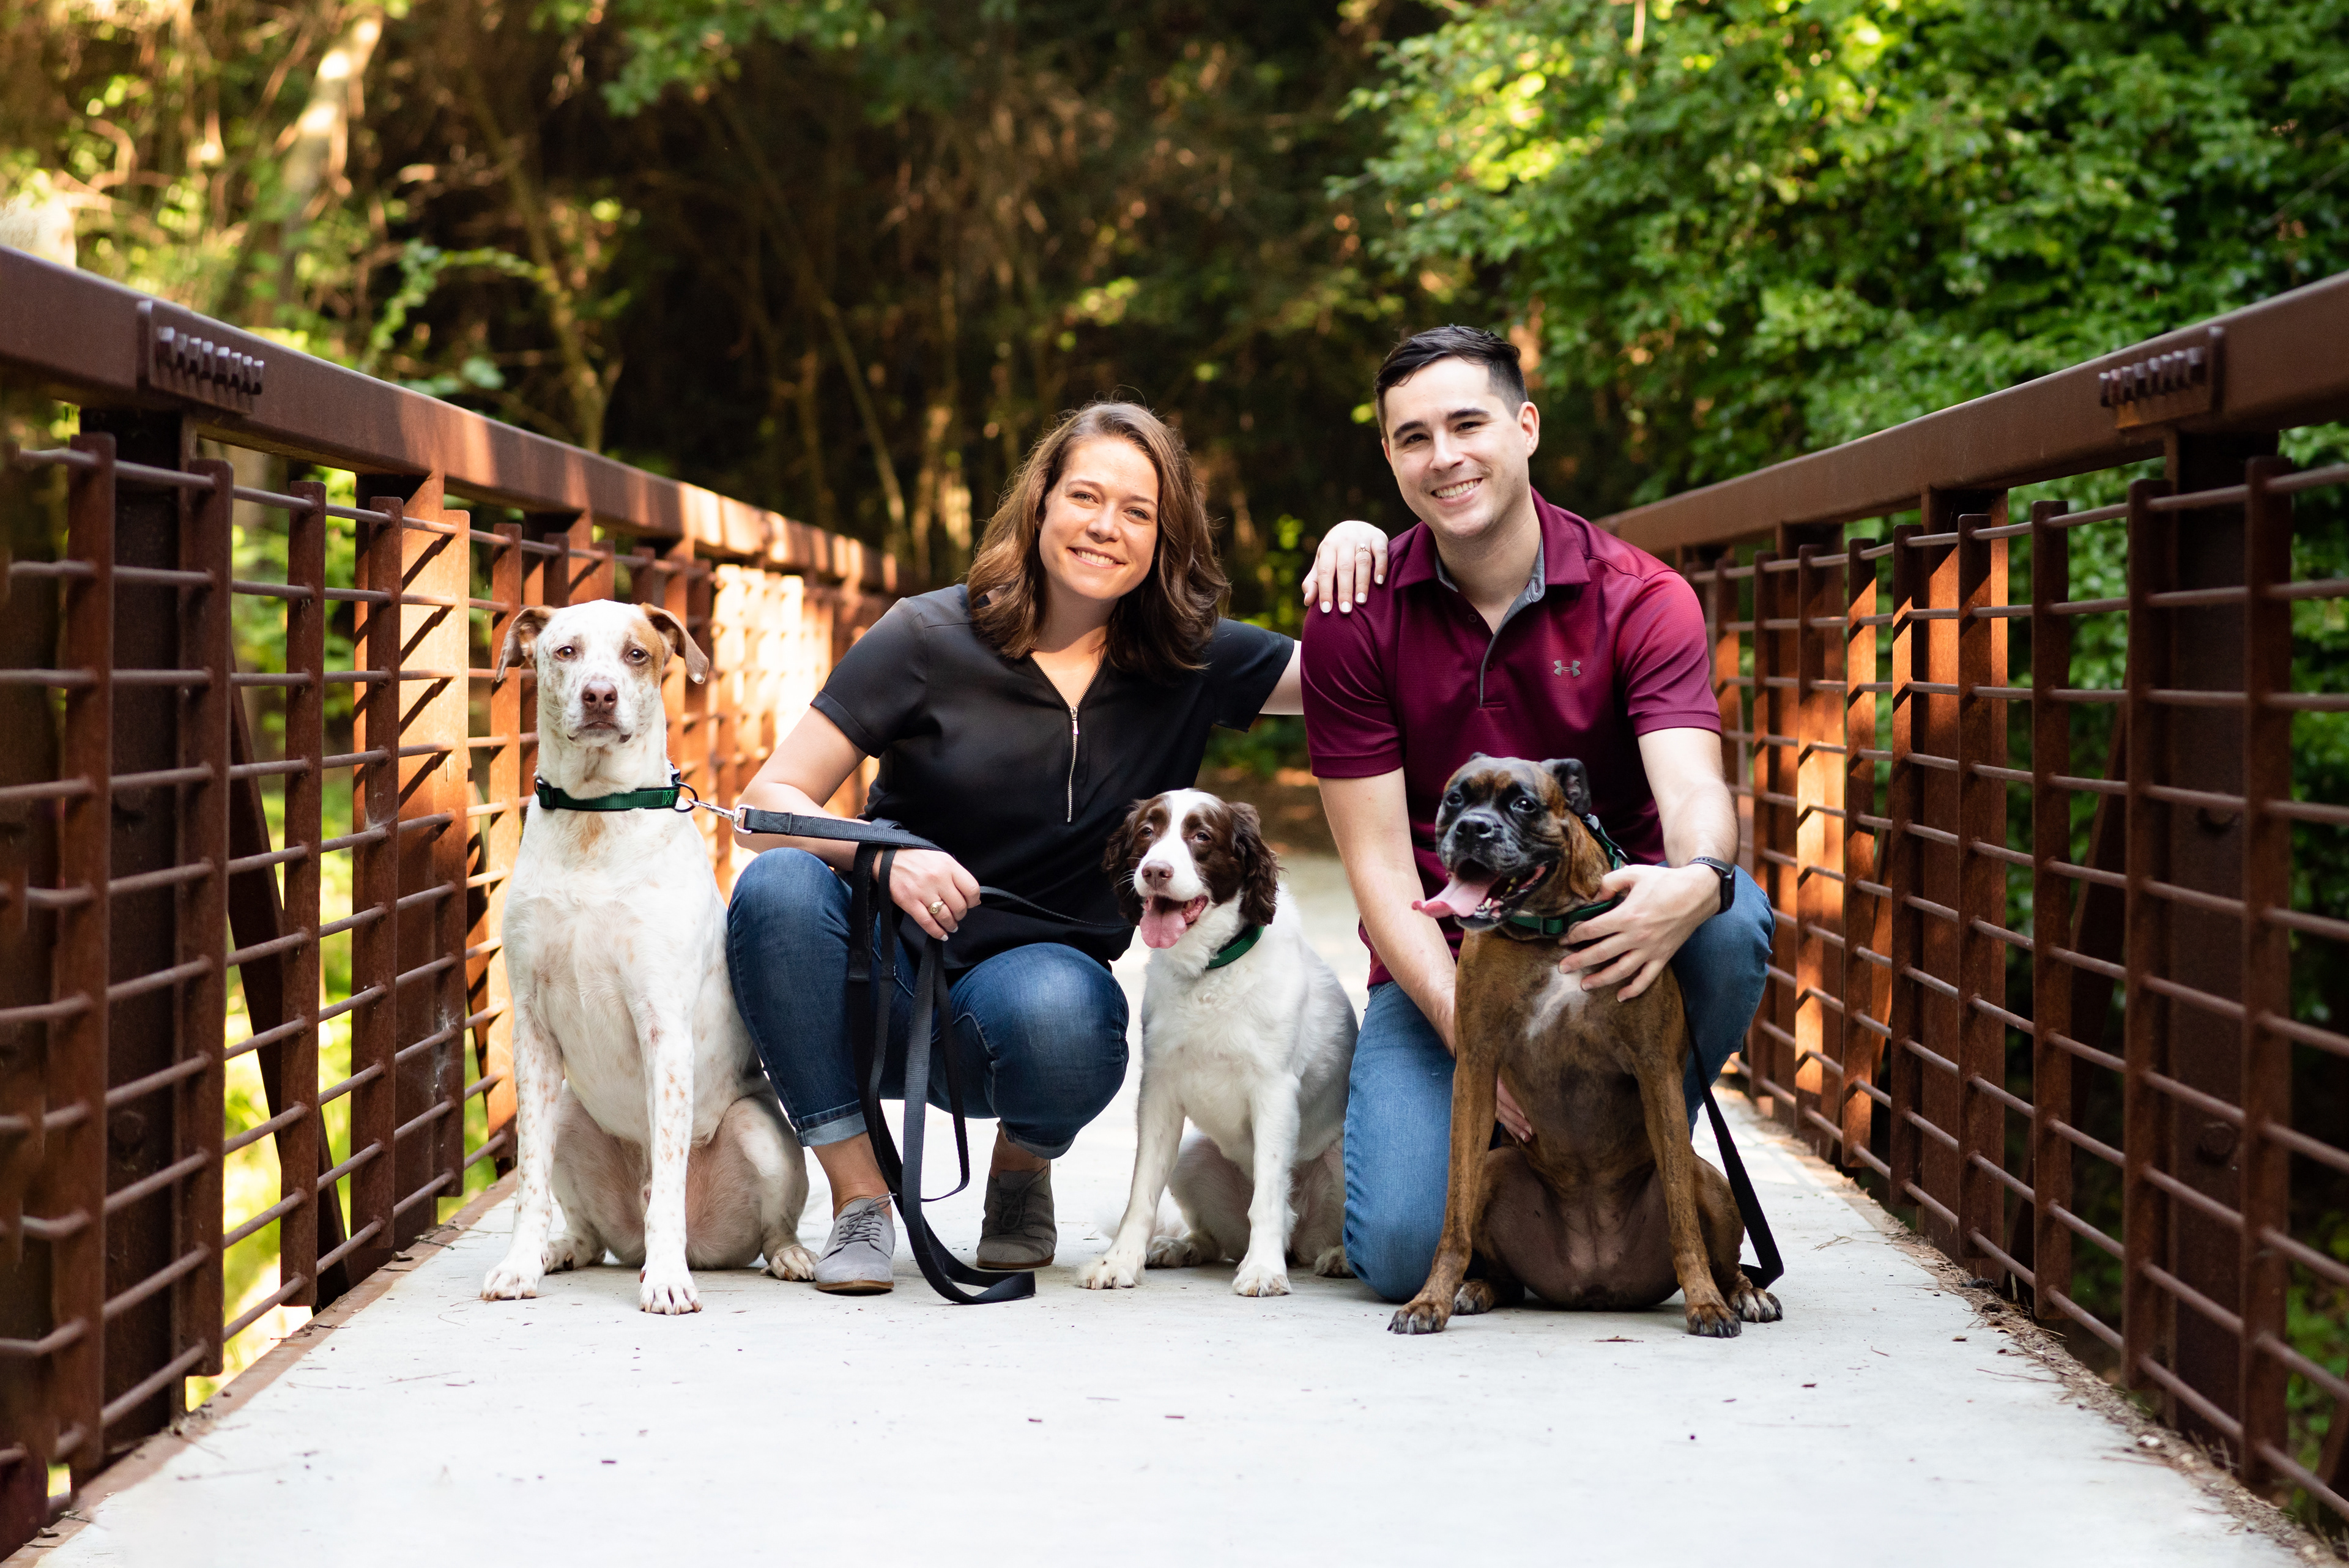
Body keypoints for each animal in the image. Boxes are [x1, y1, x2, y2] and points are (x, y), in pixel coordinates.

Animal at [480, 599, 815, 1314]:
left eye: (636, 654)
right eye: (565, 651)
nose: (599, 695)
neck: (596, 816)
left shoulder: (663, 1025)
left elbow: (667, 1181)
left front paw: (667, 1280)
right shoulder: (533, 1031)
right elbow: (527, 1183)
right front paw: (519, 1264)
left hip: (761, 1132)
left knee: (765, 1225)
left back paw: (788, 1256)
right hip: (570, 1113)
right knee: (586, 1231)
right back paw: (559, 1252)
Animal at [1080, 789, 1357, 1297]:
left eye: (1202, 836)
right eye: (1147, 832)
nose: (1155, 871)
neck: (1211, 968)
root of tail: (1301, 1243)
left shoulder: (1274, 1091)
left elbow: (1268, 1194)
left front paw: (1263, 1268)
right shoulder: (1159, 1091)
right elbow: (1141, 1192)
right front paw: (1120, 1261)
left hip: (1342, 1150)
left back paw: (1339, 1256)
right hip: (1192, 1154)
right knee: (1215, 1240)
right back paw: (1180, 1246)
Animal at [1387, 755, 1782, 1337]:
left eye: (1524, 803)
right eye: (1455, 799)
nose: (1473, 829)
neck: (1550, 930)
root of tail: (1595, 1283)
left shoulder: (1656, 1072)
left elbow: (1684, 1227)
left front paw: (1706, 1303)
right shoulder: (1477, 1072)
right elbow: (1452, 1220)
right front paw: (1429, 1299)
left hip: (1707, 1178)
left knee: (1722, 1254)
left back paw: (1741, 1293)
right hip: (1495, 1166)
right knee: (1503, 1273)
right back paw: (1474, 1287)